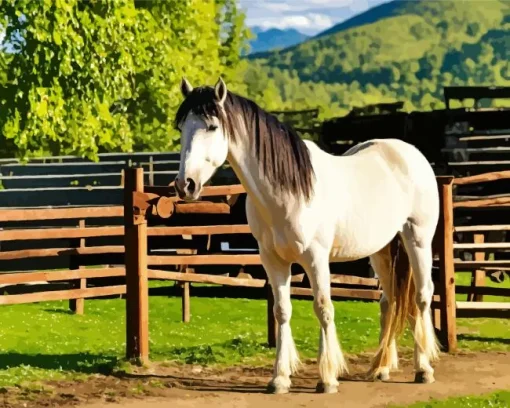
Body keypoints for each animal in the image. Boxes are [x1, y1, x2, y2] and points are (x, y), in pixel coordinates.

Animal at [173, 78, 440, 394]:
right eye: (181, 128)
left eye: (212, 127)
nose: (185, 185)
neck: (287, 192)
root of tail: (410, 153)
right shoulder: (273, 261)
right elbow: (282, 311)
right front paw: (279, 378)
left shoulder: (316, 259)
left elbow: (323, 308)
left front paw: (327, 379)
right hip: (382, 250)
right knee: (390, 302)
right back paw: (381, 368)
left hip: (418, 240)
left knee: (422, 297)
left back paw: (423, 369)